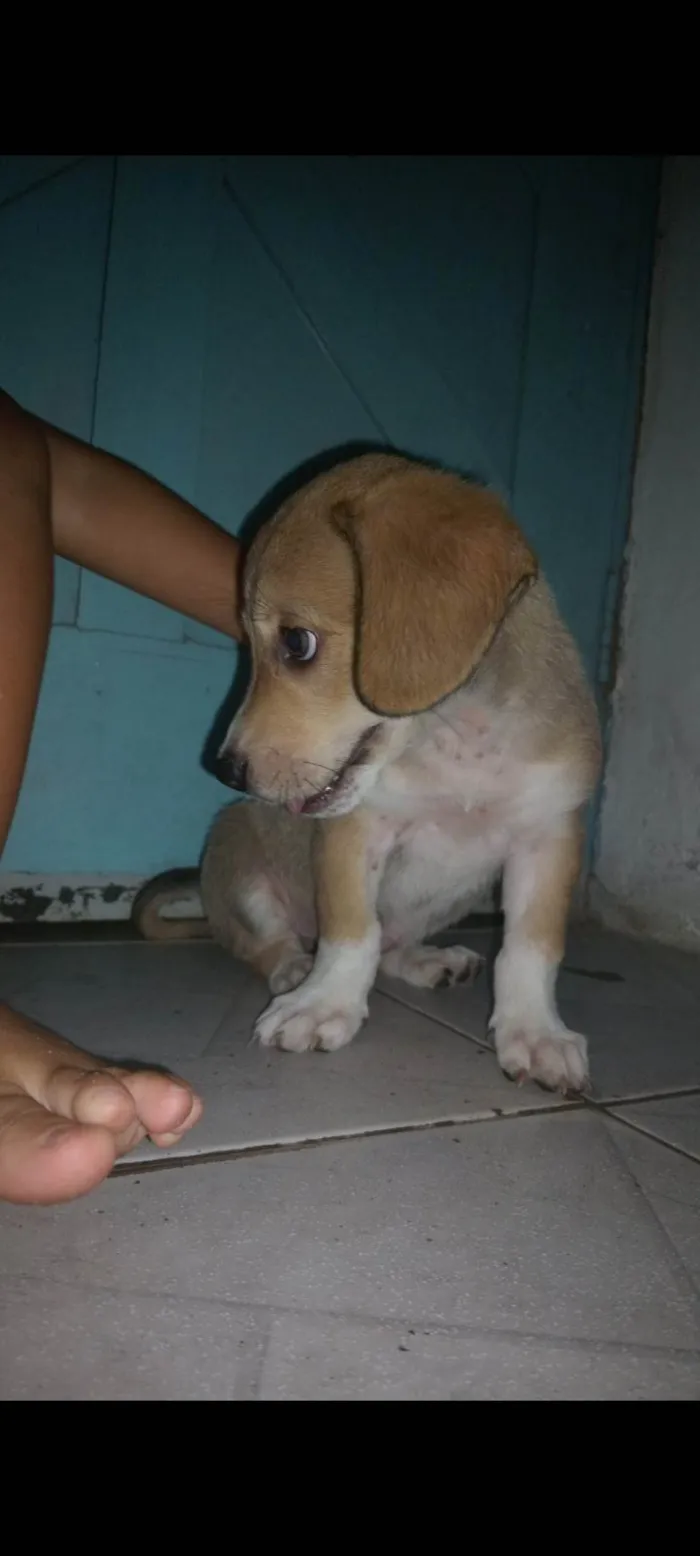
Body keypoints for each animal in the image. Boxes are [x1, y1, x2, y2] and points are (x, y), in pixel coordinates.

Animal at [136, 454, 600, 1095]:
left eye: (297, 642)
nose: (228, 770)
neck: (459, 740)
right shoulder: (354, 834)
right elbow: (352, 933)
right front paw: (323, 1004)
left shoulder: (548, 837)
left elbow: (531, 949)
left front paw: (535, 1032)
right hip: (241, 863)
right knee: (269, 944)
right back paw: (294, 970)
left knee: (394, 942)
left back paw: (429, 960)